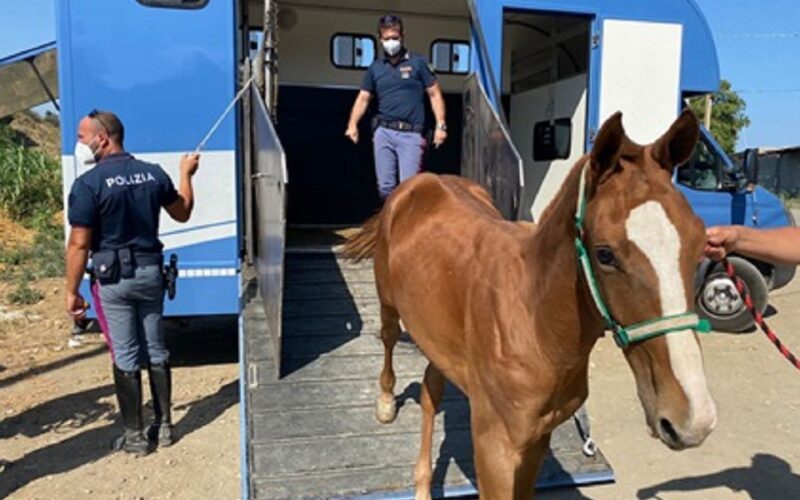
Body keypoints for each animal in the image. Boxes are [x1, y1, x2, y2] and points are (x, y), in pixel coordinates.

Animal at [344, 109, 720, 496]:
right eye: (604, 254)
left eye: (700, 242)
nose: (692, 419)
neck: (535, 324)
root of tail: (419, 184)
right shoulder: (494, 448)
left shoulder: (538, 438)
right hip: (389, 302)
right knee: (389, 338)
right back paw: (386, 403)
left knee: (431, 389)